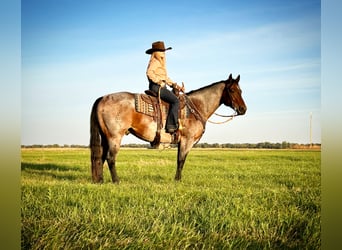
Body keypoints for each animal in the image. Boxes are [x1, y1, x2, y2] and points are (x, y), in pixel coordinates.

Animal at [90, 73, 246, 183]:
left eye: (241, 90)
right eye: (232, 90)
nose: (243, 109)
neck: (196, 106)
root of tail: (102, 98)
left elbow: (179, 160)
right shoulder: (187, 140)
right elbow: (181, 160)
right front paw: (177, 180)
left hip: (105, 137)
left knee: (101, 158)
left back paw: (100, 180)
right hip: (114, 137)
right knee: (110, 158)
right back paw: (116, 181)